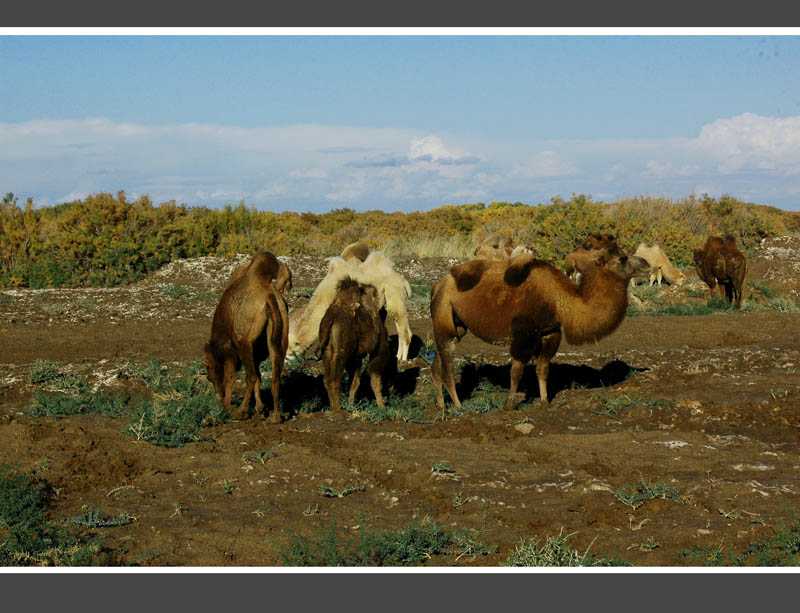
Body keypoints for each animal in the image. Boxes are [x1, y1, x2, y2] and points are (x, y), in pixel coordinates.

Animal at [316, 276, 390, 412]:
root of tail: (331, 319)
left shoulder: (356, 357)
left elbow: (354, 382)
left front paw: (351, 405)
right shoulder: (378, 349)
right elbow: (375, 379)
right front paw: (382, 406)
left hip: (327, 352)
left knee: (327, 380)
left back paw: (334, 408)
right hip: (341, 352)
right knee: (335, 380)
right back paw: (337, 410)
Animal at [432, 249, 648, 412]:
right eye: (622, 258)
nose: (645, 262)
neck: (559, 300)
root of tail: (437, 285)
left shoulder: (550, 332)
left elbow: (543, 370)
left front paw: (545, 402)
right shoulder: (525, 334)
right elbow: (516, 371)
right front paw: (510, 405)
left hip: (456, 325)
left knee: (437, 364)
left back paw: (441, 407)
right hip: (445, 315)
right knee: (448, 366)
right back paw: (459, 407)